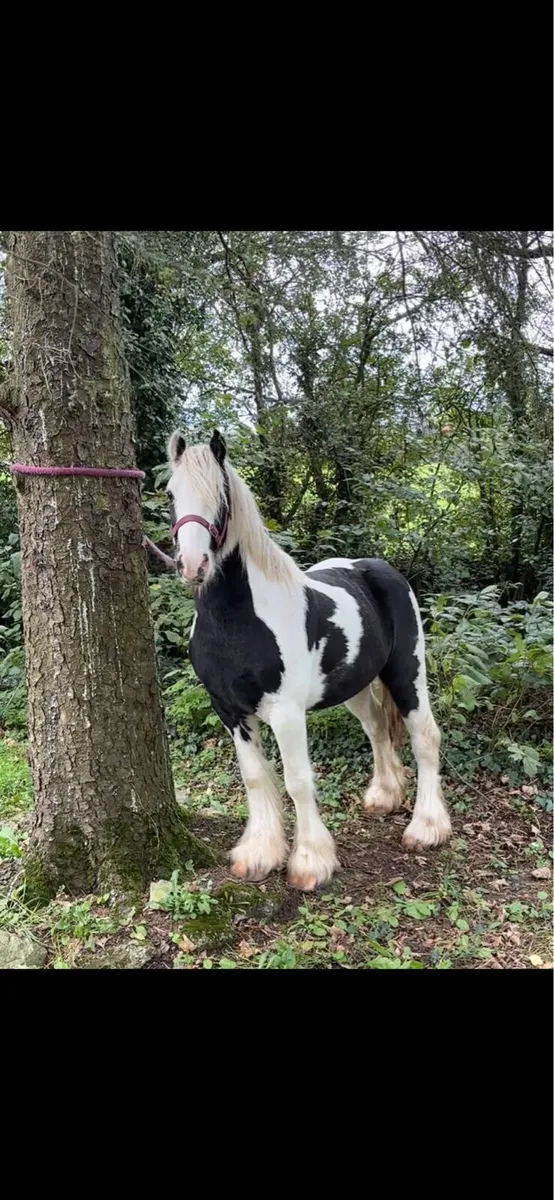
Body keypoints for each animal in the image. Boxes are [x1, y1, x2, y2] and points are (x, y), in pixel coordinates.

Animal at [167, 428, 452, 891]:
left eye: (221, 495)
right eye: (171, 493)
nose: (193, 565)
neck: (237, 623)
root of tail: (380, 569)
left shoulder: (286, 713)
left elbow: (297, 781)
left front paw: (309, 862)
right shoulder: (229, 710)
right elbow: (254, 776)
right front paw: (259, 854)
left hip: (407, 672)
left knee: (425, 736)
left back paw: (426, 827)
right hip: (354, 686)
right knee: (377, 728)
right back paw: (384, 796)